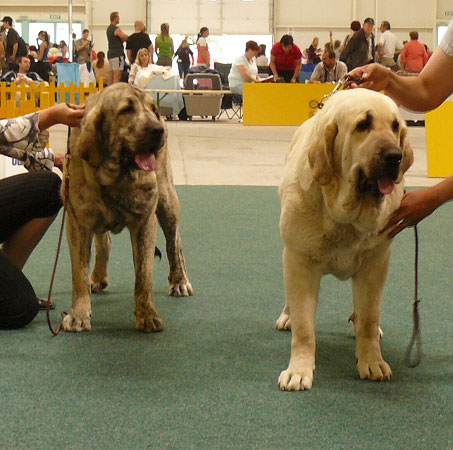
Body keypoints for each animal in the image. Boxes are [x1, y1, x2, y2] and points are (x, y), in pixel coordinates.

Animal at [61, 83, 192, 334]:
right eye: (126, 110)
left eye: (152, 108)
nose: (158, 130)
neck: (114, 175)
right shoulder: (78, 222)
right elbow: (78, 273)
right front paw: (79, 313)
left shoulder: (144, 221)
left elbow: (143, 275)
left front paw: (147, 315)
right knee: (104, 242)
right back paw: (98, 276)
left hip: (167, 201)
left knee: (175, 243)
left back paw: (179, 281)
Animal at [276, 89, 414, 390]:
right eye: (363, 125)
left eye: (395, 126)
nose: (395, 156)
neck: (345, 216)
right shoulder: (299, 261)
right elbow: (304, 328)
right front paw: (299, 370)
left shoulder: (376, 264)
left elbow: (369, 319)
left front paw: (372, 361)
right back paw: (287, 315)